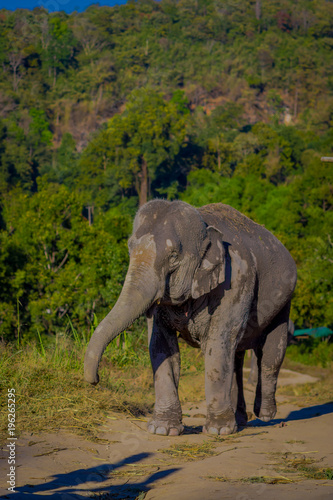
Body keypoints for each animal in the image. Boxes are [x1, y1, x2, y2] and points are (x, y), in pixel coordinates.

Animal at [83, 198, 296, 434]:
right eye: (130, 249)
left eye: (174, 257)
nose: (96, 380)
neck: (204, 224)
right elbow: (160, 346)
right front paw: (162, 429)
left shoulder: (237, 279)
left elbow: (218, 343)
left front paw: (217, 431)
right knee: (237, 357)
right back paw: (239, 421)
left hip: (284, 302)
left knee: (270, 353)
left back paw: (265, 415)